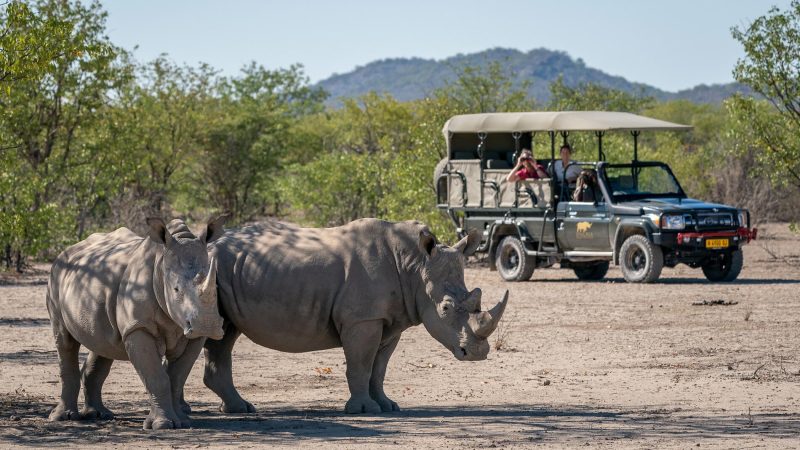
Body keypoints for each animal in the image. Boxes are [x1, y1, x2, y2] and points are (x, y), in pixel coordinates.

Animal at [46, 215, 228, 430]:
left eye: (216, 288)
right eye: (175, 289)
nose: (206, 325)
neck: (160, 267)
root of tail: (68, 250)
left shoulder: (194, 336)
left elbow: (176, 378)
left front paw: (183, 422)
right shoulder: (138, 327)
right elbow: (157, 377)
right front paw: (163, 425)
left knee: (103, 343)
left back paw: (98, 414)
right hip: (56, 276)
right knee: (65, 341)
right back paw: (63, 417)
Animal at [200, 218, 508, 414]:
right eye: (445, 308)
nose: (478, 353)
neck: (415, 267)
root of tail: (207, 244)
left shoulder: (389, 321)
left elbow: (379, 369)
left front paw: (388, 406)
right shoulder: (363, 319)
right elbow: (361, 364)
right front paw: (364, 410)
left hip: (227, 273)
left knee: (225, 335)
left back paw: (239, 409)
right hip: (211, 271)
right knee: (220, 335)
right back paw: (238, 408)